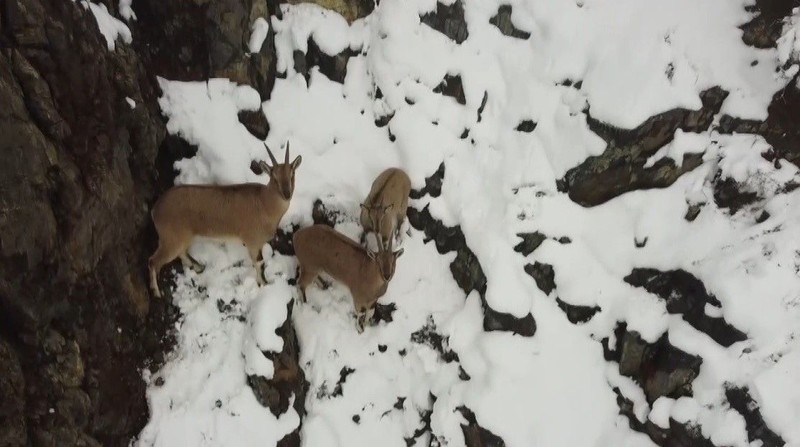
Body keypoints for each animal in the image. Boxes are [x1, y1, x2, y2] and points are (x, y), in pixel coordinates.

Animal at [148, 143, 302, 298]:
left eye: (292, 174)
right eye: (274, 176)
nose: (287, 194)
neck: (264, 202)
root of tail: (156, 209)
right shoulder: (252, 242)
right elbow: (259, 263)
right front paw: (263, 284)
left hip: (181, 238)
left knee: (181, 253)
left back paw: (198, 267)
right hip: (171, 240)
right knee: (153, 261)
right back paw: (157, 292)